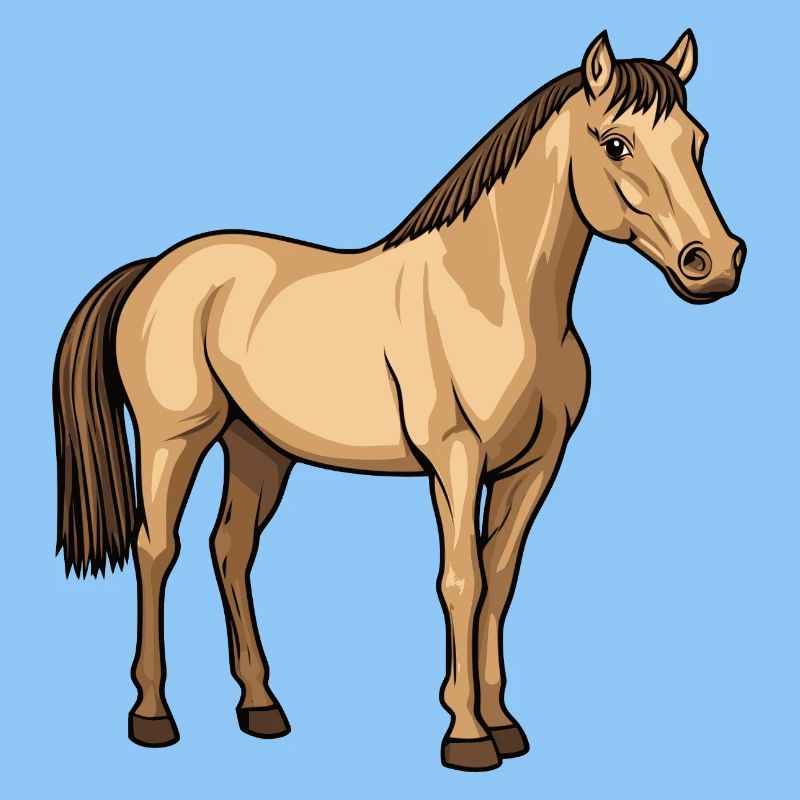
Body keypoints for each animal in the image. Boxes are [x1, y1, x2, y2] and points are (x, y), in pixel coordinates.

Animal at [53, 30, 745, 771]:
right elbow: (461, 581)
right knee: (157, 549)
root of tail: (155, 268)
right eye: (616, 144)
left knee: (231, 549)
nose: (714, 262)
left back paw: (261, 708)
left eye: (698, 141)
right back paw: (152, 716)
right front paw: (466, 734)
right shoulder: (455, 459)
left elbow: (500, 579)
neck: (499, 300)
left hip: (258, 448)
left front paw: (504, 724)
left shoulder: (534, 466)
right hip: (173, 439)